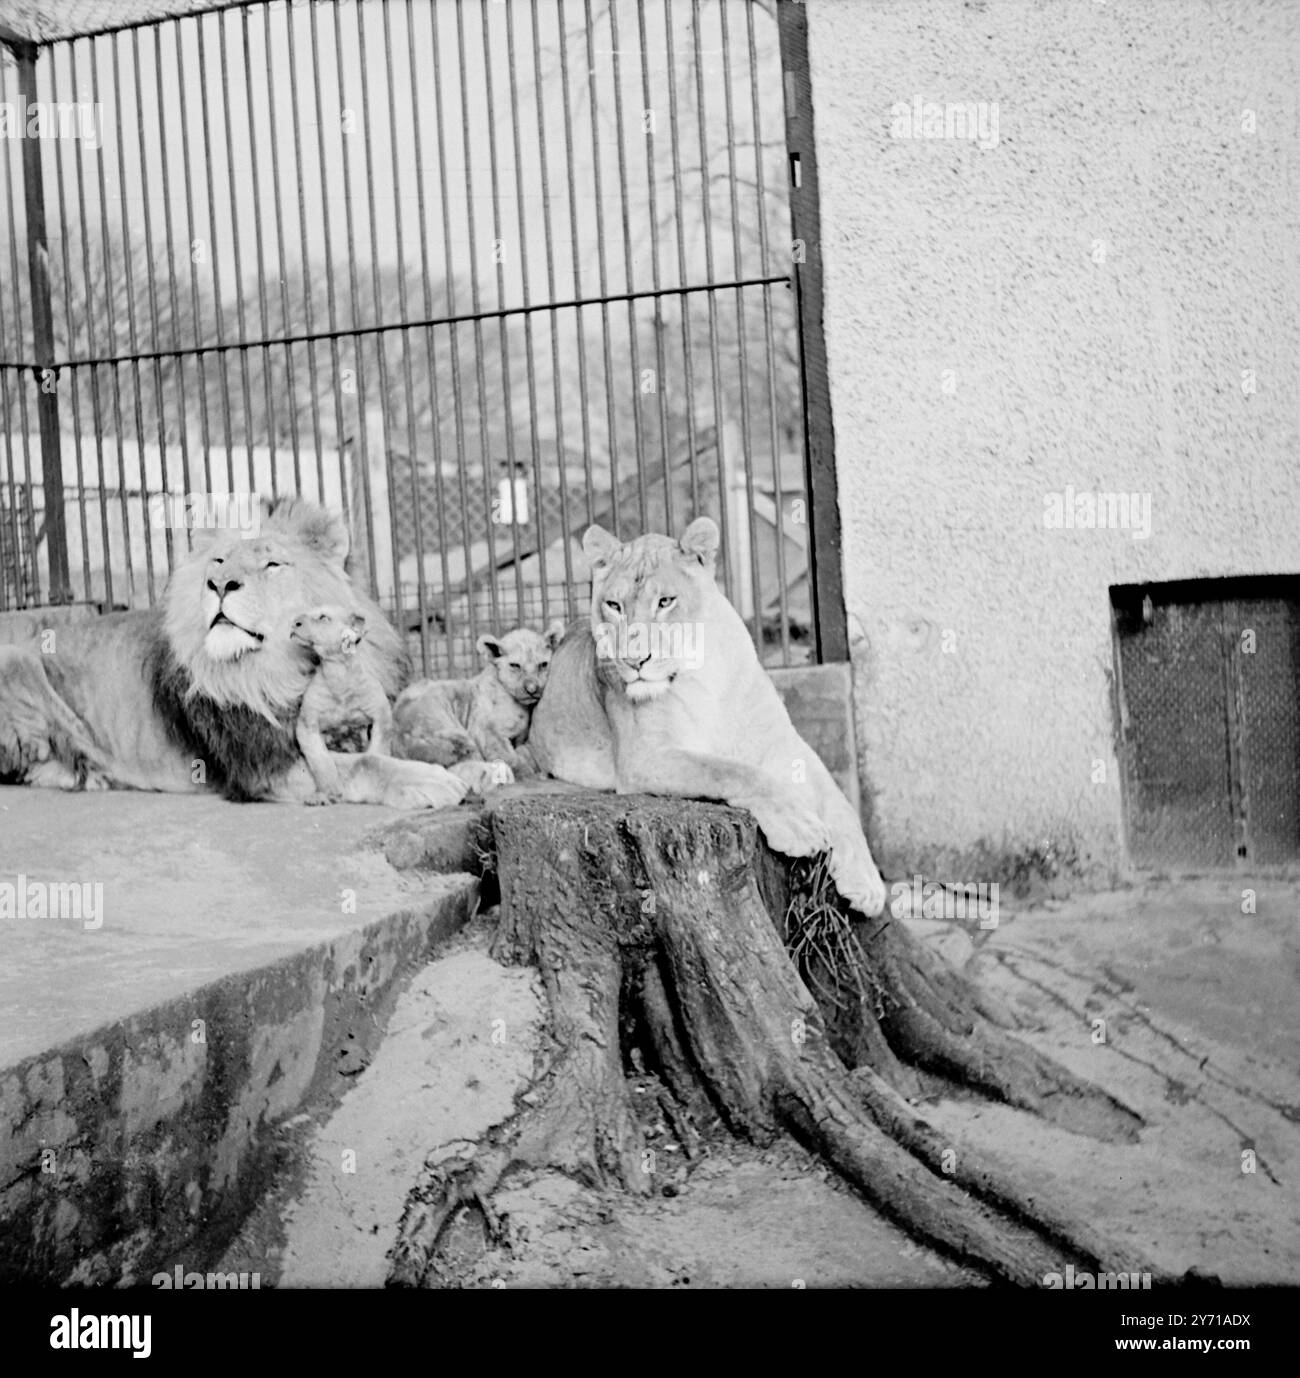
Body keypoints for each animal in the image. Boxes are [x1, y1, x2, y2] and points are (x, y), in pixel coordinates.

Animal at [0, 498, 481, 809]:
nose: (219, 584)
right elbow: (364, 763)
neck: (281, 669)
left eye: (272, 564)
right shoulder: (265, 765)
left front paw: (475, 766)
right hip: (18, 659)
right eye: (217, 562)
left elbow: (389, 746)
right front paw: (434, 780)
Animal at [392, 621, 564, 777]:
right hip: (455, 734)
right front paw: (526, 772)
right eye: (515, 665)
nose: (532, 689)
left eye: (543, 664)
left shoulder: (519, 737)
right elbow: (506, 755)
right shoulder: (484, 729)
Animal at [527, 517, 889, 917]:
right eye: (614, 605)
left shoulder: (782, 743)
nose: (634, 660)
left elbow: (839, 800)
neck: (703, 673)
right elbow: (734, 770)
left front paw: (868, 883)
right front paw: (799, 827)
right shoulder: (645, 758)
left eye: (665, 602)